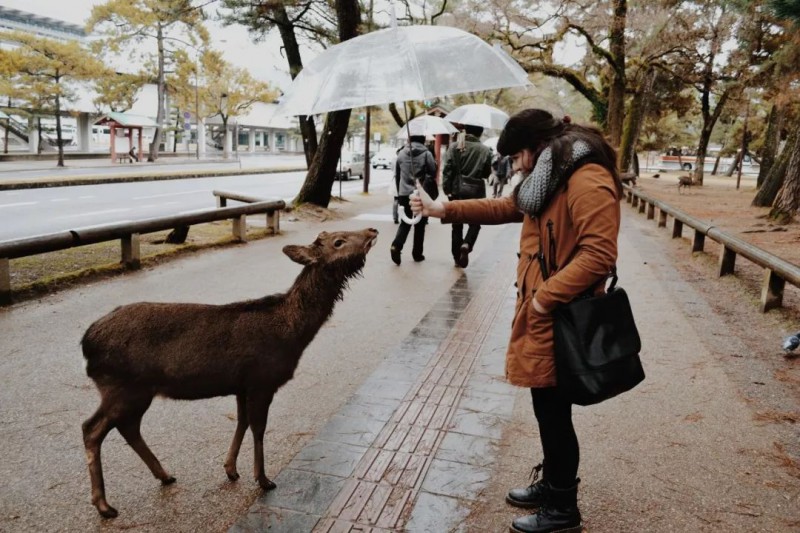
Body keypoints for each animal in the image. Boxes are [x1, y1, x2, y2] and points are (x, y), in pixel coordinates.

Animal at [80, 228, 378, 516]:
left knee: (127, 427)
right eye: (338, 241)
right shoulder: (262, 379)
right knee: (92, 428)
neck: (292, 336)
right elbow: (258, 427)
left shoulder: (241, 384)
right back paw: (104, 505)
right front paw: (263, 479)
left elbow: (241, 422)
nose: (372, 230)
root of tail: (86, 342)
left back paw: (164, 475)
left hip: (134, 390)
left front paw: (231, 469)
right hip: (124, 386)